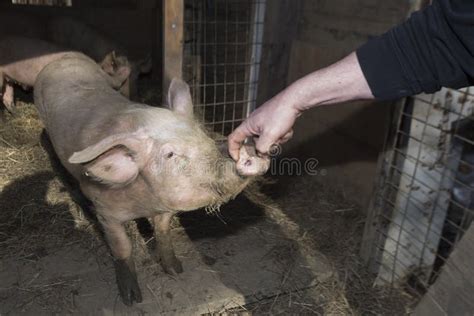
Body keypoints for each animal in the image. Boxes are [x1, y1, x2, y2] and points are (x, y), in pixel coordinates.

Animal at [33, 54, 268, 306]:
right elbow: (123, 248)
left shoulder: (164, 209)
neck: (144, 203)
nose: (248, 151)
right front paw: (131, 299)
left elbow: (163, 233)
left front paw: (176, 269)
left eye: (205, 137)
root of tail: (63, 57)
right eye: (170, 154)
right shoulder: (106, 213)